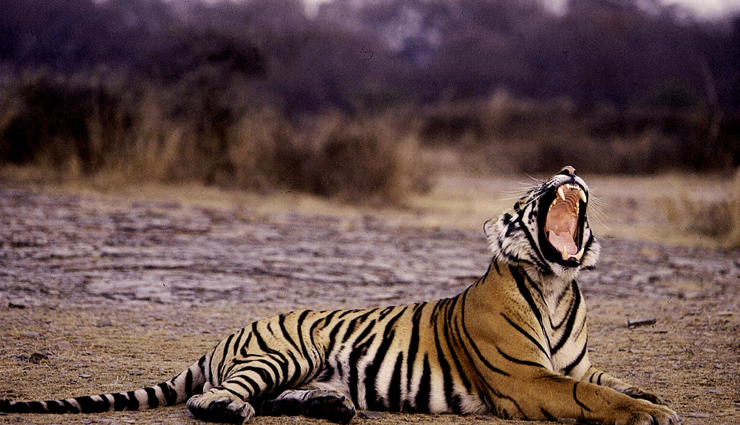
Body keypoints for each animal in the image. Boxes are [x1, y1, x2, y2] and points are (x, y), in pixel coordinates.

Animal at [0, 166, 680, 425]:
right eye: (531, 190)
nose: (568, 171)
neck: (557, 284)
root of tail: (224, 334)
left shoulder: (574, 363)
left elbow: (609, 379)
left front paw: (651, 396)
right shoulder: (525, 381)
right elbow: (589, 395)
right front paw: (653, 414)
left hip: (300, 370)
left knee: (277, 398)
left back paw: (334, 407)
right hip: (281, 353)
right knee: (210, 398)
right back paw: (235, 410)